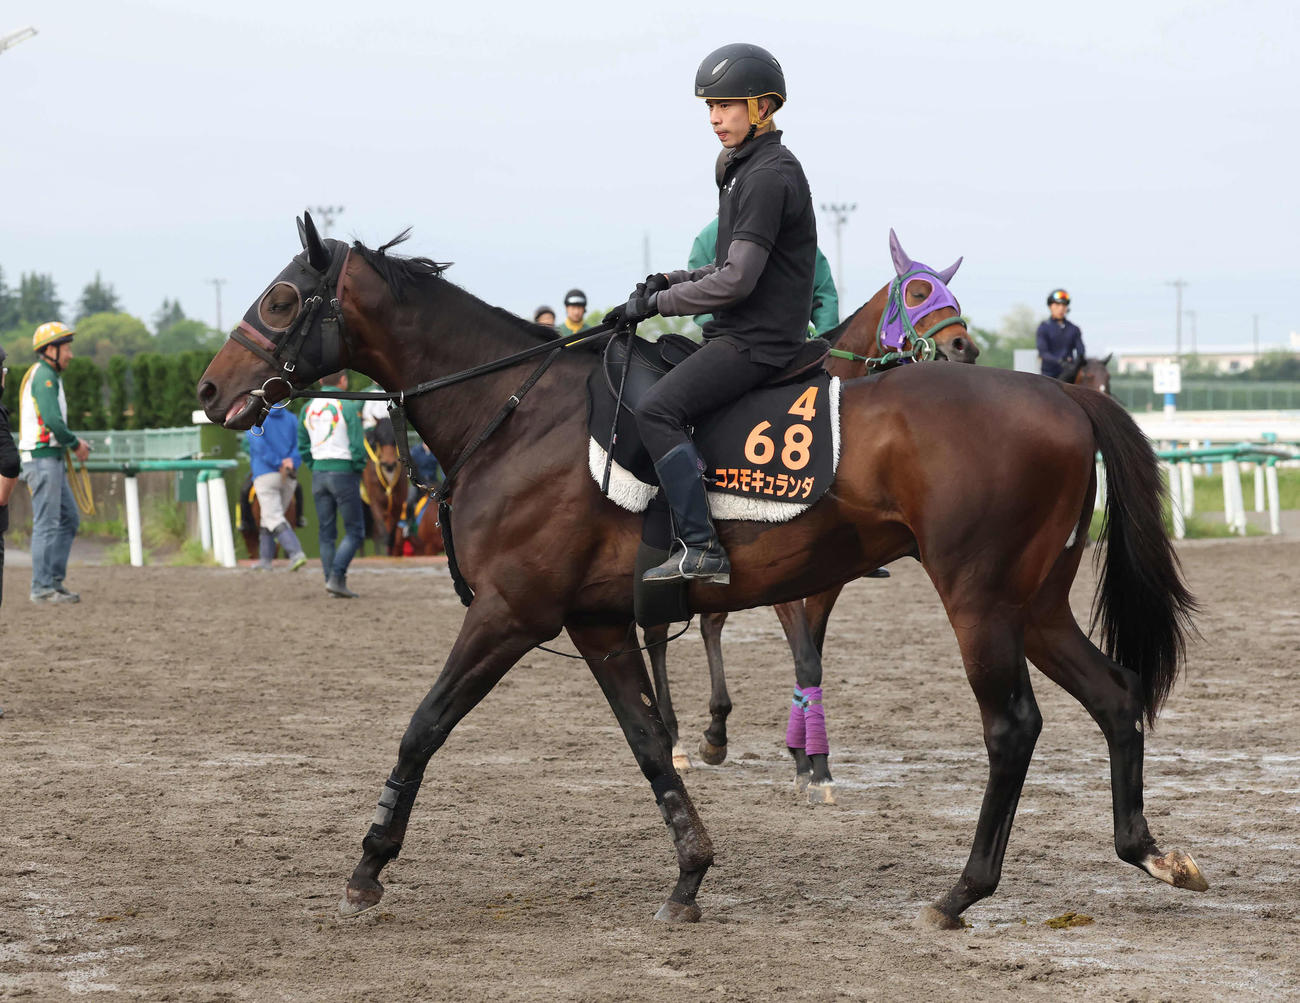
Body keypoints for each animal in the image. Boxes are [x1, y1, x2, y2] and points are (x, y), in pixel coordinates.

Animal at [644, 233, 979, 795]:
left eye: (951, 295)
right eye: (916, 292)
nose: (965, 348)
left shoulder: (826, 578)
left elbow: (812, 660)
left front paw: (806, 756)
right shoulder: (781, 576)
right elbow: (804, 657)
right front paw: (810, 760)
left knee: (710, 622)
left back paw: (716, 731)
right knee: (656, 637)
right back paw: (674, 741)